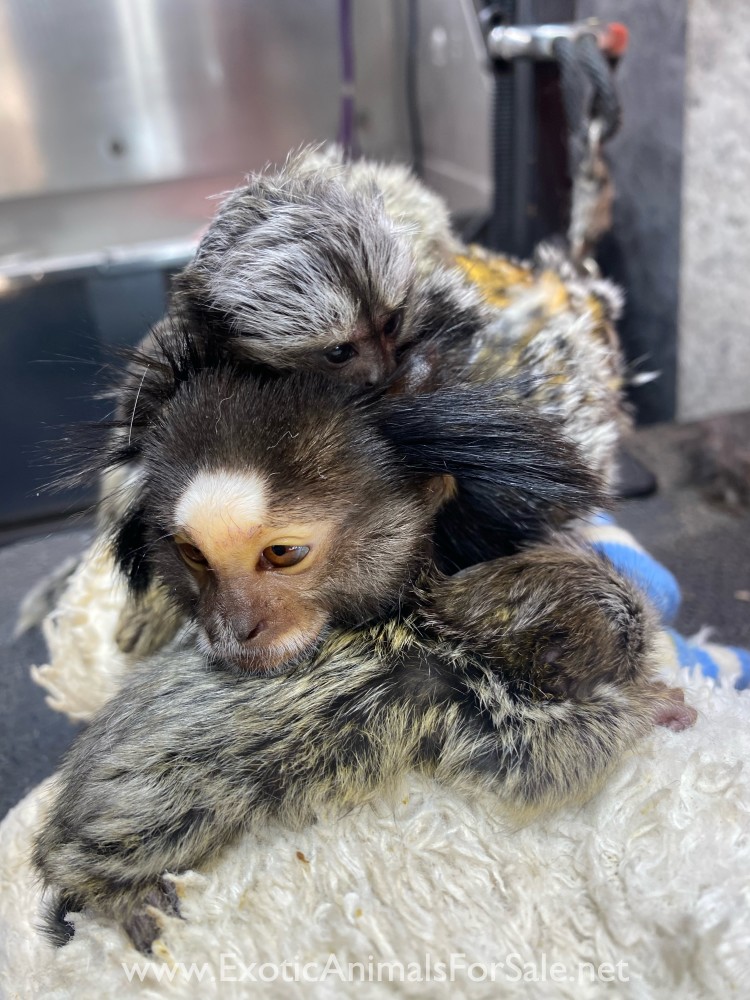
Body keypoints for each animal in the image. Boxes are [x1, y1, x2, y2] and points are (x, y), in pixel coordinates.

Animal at [33, 356, 695, 954]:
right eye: (630, 642)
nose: (645, 633)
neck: (450, 622)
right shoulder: (468, 700)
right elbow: (550, 761)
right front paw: (650, 706)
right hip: (155, 802)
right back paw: (109, 890)